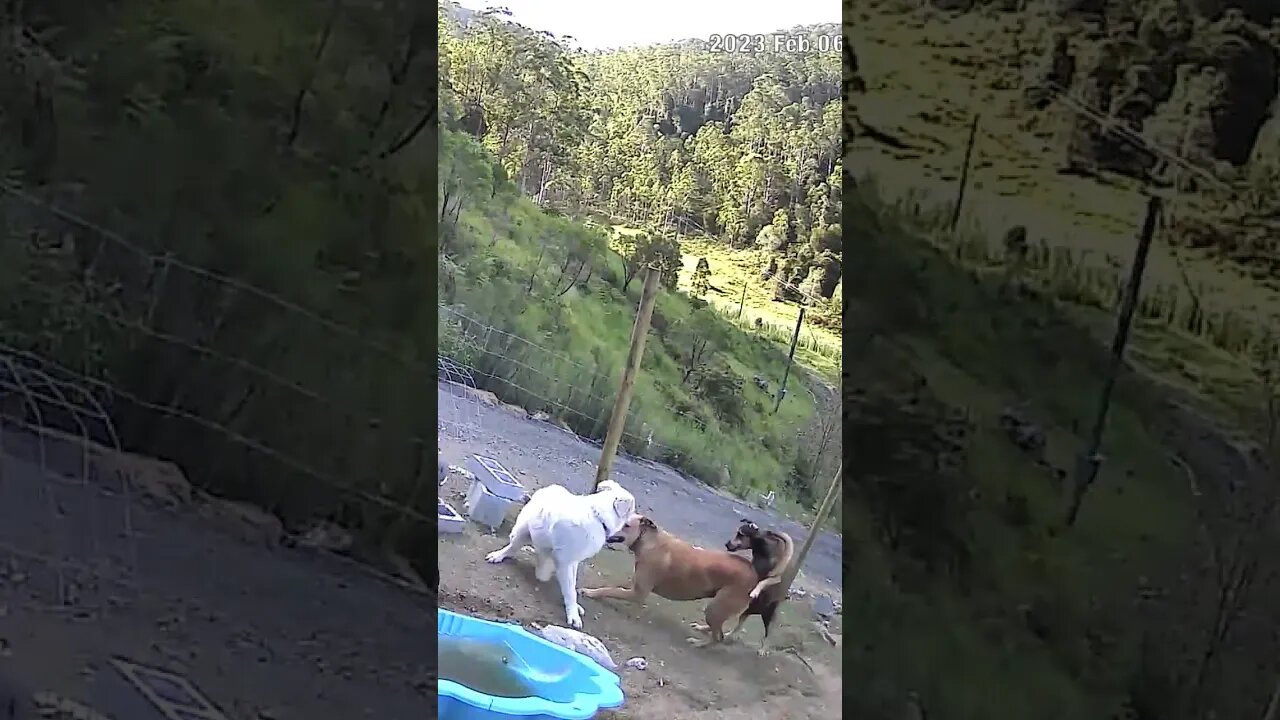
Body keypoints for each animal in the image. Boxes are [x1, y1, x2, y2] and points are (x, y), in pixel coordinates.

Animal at [483, 479, 634, 625]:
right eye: (631, 513)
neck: (598, 517)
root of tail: (550, 487)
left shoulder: (573, 561)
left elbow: (572, 587)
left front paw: (575, 607)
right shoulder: (565, 560)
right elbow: (570, 591)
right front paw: (573, 615)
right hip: (522, 532)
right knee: (512, 547)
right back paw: (499, 556)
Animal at [581, 512, 757, 648]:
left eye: (626, 525)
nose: (604, 526)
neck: (649, 541)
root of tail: (755, 574)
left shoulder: (637, 593)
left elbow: (609, 589)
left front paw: (590, 592)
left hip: (716, 608)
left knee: (718, 637)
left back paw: (699, 643)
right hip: (716, 609)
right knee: (716, 629)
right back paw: (702, 628)